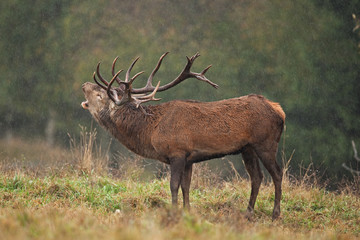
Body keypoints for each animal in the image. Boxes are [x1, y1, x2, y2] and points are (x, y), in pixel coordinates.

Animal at [82, 52, 286, 219]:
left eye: (101, 94)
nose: (84, 84)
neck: (151, 131)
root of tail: (279, 110)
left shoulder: (177, 152)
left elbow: (173, 185)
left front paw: (174, 212)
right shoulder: (189, 158)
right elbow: (186, 186)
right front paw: (187, 212)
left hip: (266, 143)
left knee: (277, 172)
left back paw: (275, 214)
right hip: (247, 148)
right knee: (257, 177)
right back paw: (248, 213)